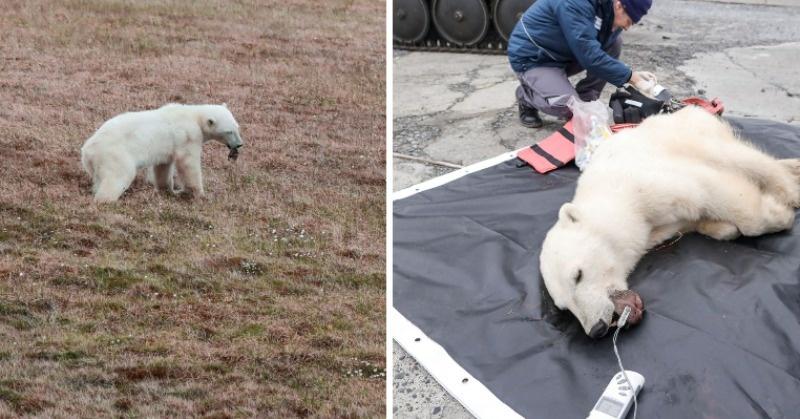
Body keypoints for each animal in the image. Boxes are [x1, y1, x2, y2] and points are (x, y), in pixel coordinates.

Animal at [81, 104, 245, 203]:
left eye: (237, 127)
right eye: (229, 131)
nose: (239, 144)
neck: (193, 115)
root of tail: (88, 150)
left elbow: (163, 166)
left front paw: (168, 190)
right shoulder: (188, 135)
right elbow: (188, 163)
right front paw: (198, 194)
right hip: (116, 154)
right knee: (118, 175)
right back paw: (106, 200)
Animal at [536, 106, 800, 340]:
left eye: (578, 275)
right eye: (563, 306)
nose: (596, 329)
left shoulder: (647, 183)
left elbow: (709, 189)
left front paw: (779, 214)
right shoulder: (657, 227)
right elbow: (698, 219)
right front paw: (723, 227)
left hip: (692, 136)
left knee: (740, 158)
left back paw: (790, 188)